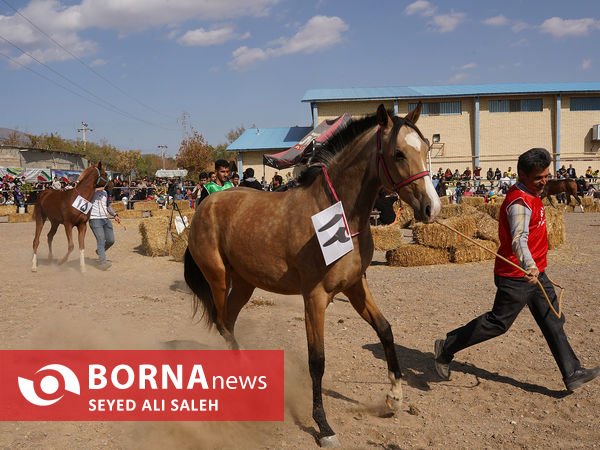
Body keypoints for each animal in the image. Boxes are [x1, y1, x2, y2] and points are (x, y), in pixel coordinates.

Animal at [183, 104, 440, 446]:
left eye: (425, 148)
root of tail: (204, 205)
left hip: (245, 284)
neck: (337, 212)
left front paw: (395, 397)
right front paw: (323, 426)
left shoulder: (356, 286)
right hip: (218, 279)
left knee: (229, 324)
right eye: (398, 153)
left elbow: (385, 330)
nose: (431, 208)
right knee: (223, 323)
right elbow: (316, 361)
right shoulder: (315, 297)